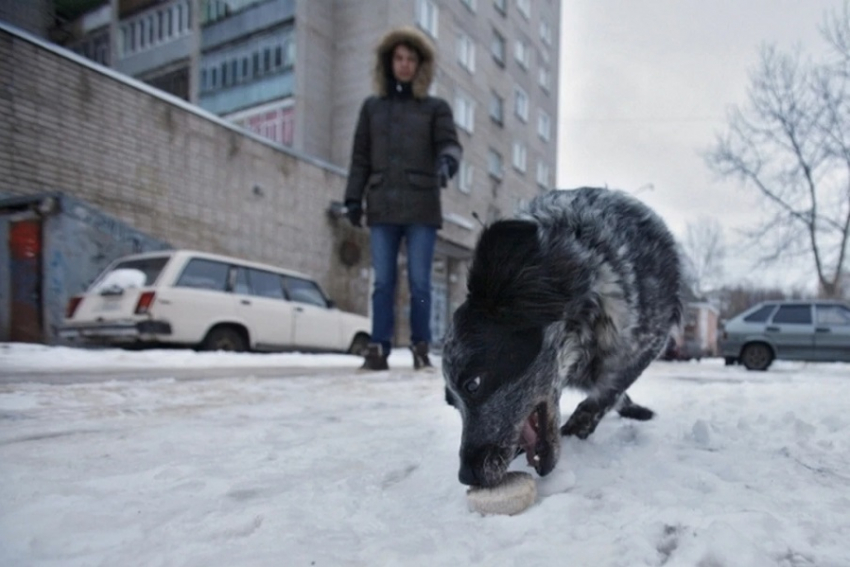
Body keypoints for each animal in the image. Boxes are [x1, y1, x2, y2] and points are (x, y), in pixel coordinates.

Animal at [440, 187, 680, 488]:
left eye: (473, 384)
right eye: (452, 403)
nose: (466, 476)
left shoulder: (648, 341)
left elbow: (606, 393)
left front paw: (577, 430)